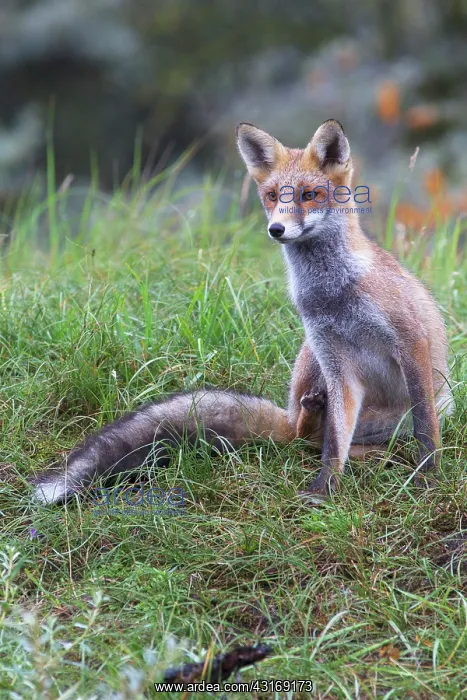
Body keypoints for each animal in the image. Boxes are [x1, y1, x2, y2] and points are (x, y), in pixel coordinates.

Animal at [32, 119, 452, 505]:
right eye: (271, 196)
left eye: (309, 195)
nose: (277, 229)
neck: (333, 293)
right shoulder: (335, 360)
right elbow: (334, 444)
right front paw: (325, 489)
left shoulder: (409, 341)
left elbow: (424, 425)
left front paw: (428, 475)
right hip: (309, 358)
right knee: (305, 438)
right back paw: (330, 426)